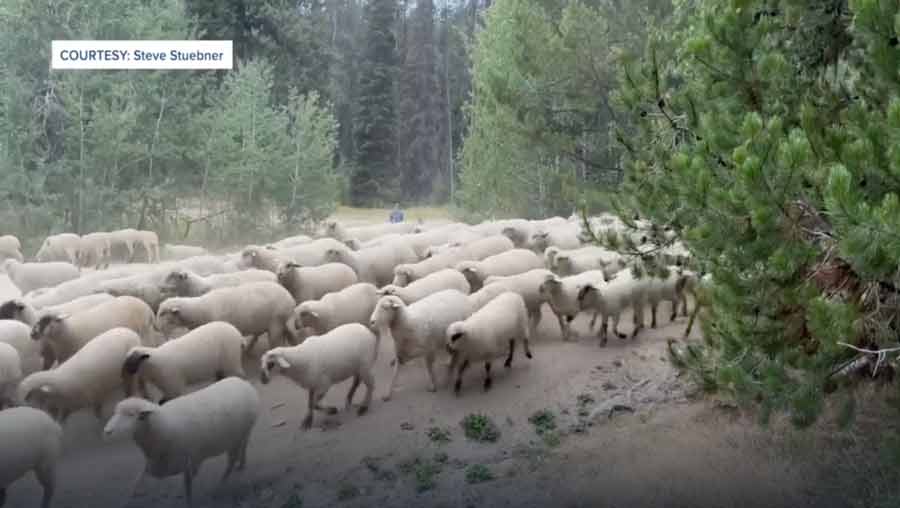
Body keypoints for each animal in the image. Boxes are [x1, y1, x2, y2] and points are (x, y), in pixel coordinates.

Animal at [102, 377, 260, 508]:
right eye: (115, 412)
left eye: (131, 415)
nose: (107, 431)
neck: (163, 424)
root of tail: (243, 382)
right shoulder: (152, 464)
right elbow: (136, 484)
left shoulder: (190, 463)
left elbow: (186, 488)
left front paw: (188, 502)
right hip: (242, 436)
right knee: (243, 449)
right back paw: (241, 465)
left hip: (237, 438)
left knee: (231, 462)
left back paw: (220, 485)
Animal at [156, 281, 296, 351]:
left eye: (162, 313)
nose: (157, 328)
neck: (200, 309)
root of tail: (290, 298)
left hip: (276, 322)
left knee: (275, 341)